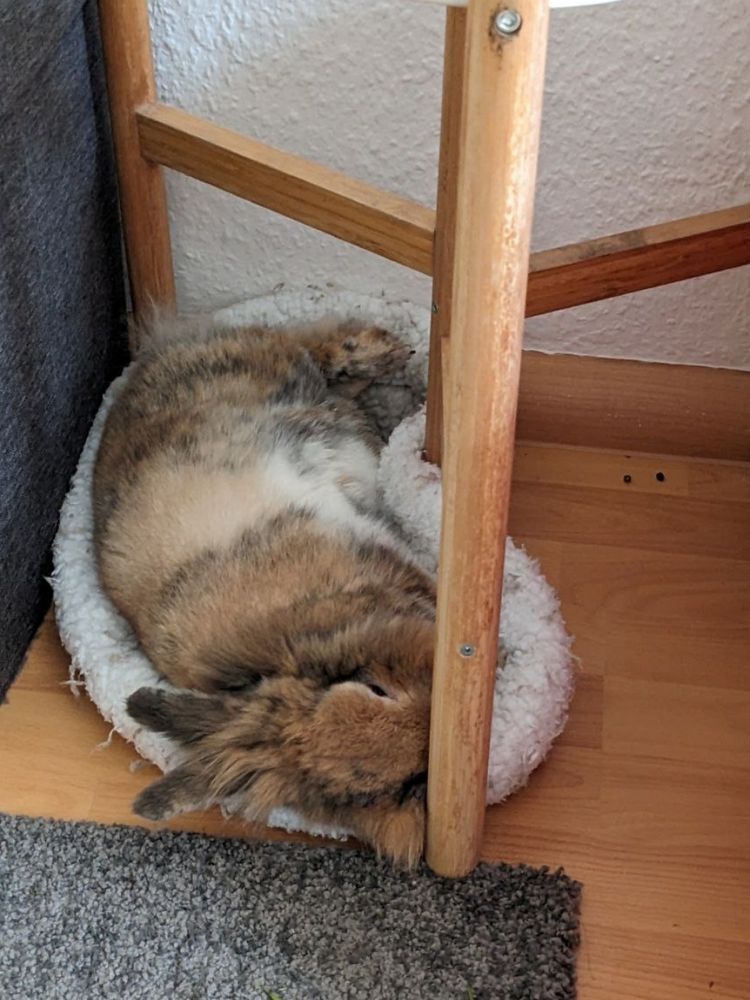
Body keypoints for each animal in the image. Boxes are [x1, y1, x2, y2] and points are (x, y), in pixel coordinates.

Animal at [92, 313, 436, 866]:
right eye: (407, 786)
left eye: (374, 688)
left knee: (305, 343)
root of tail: (153, 354)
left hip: (268, 372)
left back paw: (382, 351)